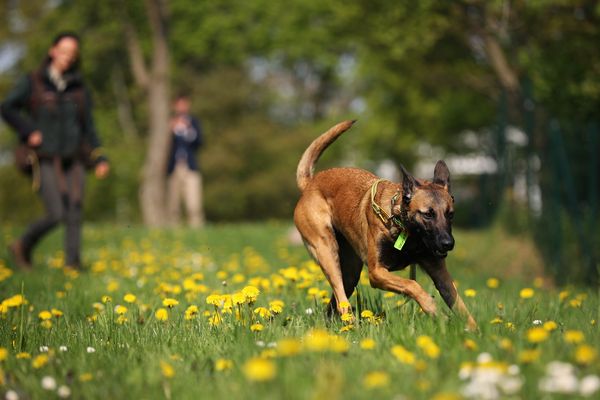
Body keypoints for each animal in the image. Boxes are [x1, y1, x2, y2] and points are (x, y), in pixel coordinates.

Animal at [292, 120, 476, 330]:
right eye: (428, 214)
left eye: (450, 214)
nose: (448, 243)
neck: (405, 229)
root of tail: (310, 184)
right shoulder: (377, 273)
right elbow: (412, 285)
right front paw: (431, 306)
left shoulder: (440, 273)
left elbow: (459, 304)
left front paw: (475, 331)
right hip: (327, 251)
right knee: (340, 297)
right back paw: (352, 325)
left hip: (350, 272)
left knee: (335, 303)